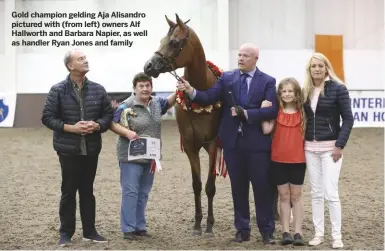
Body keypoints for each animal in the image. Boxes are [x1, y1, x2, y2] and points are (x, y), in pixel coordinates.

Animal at [143, 14, 222, 237]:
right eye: (162, 39)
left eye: (174, 42)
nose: (148, 66)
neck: (201, 95)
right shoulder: (190, 146)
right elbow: (197, 185)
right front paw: (197, 225)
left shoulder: (212, 145)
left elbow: (210, 186)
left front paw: (209, 226)